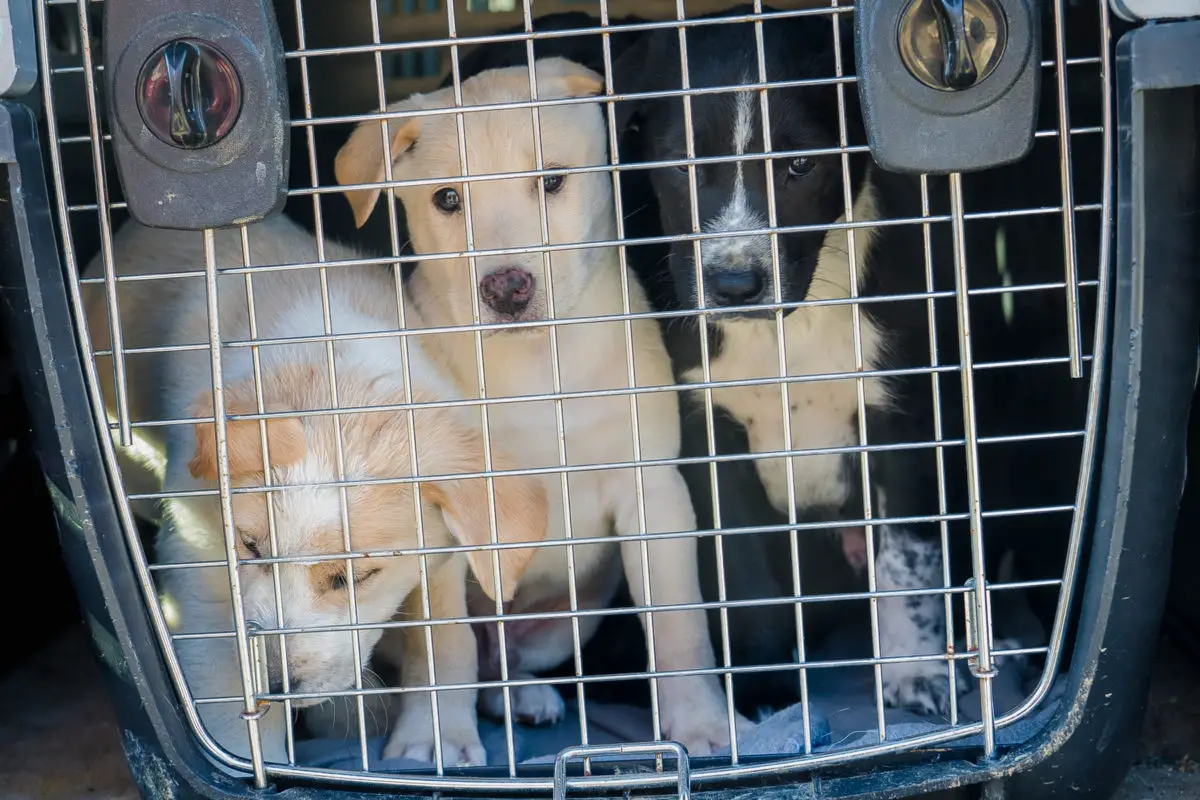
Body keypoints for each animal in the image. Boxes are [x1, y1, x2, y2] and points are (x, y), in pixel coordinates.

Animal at [84, 214, 549, 767]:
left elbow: (444, 636)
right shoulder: (198, 554)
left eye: (356, 577)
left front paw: (439, 735)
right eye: (250, 546)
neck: (337, 374)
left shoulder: (443, 554)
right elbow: (223, 678)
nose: (277, 685)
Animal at [336, 57, 739, 753]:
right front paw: (436, 737)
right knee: (464, 650)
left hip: (567, 622)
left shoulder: (652, 494)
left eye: (552, 180)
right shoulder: (442, 518)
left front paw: (701, 720)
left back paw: (525, 695)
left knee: (506, 657)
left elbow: (678, 623)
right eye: (448, 200)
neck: (533, 365)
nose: (507, 288)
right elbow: (443, 647)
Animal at [609, 7, 993, 719]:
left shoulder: (903, 424)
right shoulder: (709, 439)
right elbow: (747, 581)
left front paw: (915, 671)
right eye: (680, 165)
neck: (791, 330)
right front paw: (763, 690)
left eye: (800, 164)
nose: (734, 284)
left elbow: (909, 560)